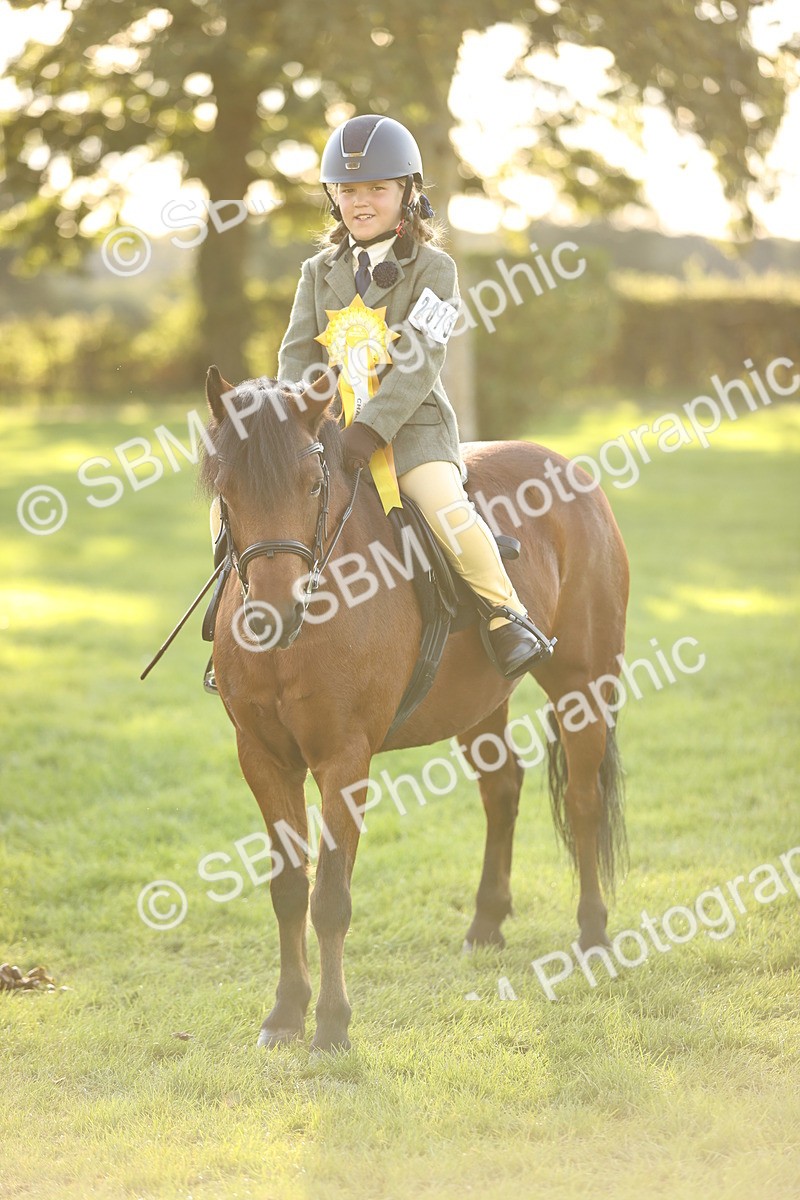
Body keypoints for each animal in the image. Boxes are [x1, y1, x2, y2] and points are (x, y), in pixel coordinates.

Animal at [198, 364, 629, 1053]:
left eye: (313, 482)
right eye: (227, 489)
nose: (273, 613)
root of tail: (566, 466)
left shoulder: (345, 761)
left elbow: (330, 897)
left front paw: (332, 1026)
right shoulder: (263, 759)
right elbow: (289, 889)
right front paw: (286, 1014)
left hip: (583, 685)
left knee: (583, 803)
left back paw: (592, 936)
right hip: (479, 705)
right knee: (502, 789)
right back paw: (486, 924)